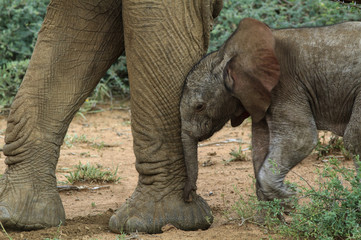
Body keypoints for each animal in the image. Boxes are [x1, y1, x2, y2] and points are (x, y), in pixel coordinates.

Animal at [180, 17, 360, 202]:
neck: (228, 56)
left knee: (353, 140)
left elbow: (301, 138)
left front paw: (289, 197)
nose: (189, 195)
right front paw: (276, 204)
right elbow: (261, 144)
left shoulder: (285, 85)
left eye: (199, 106)